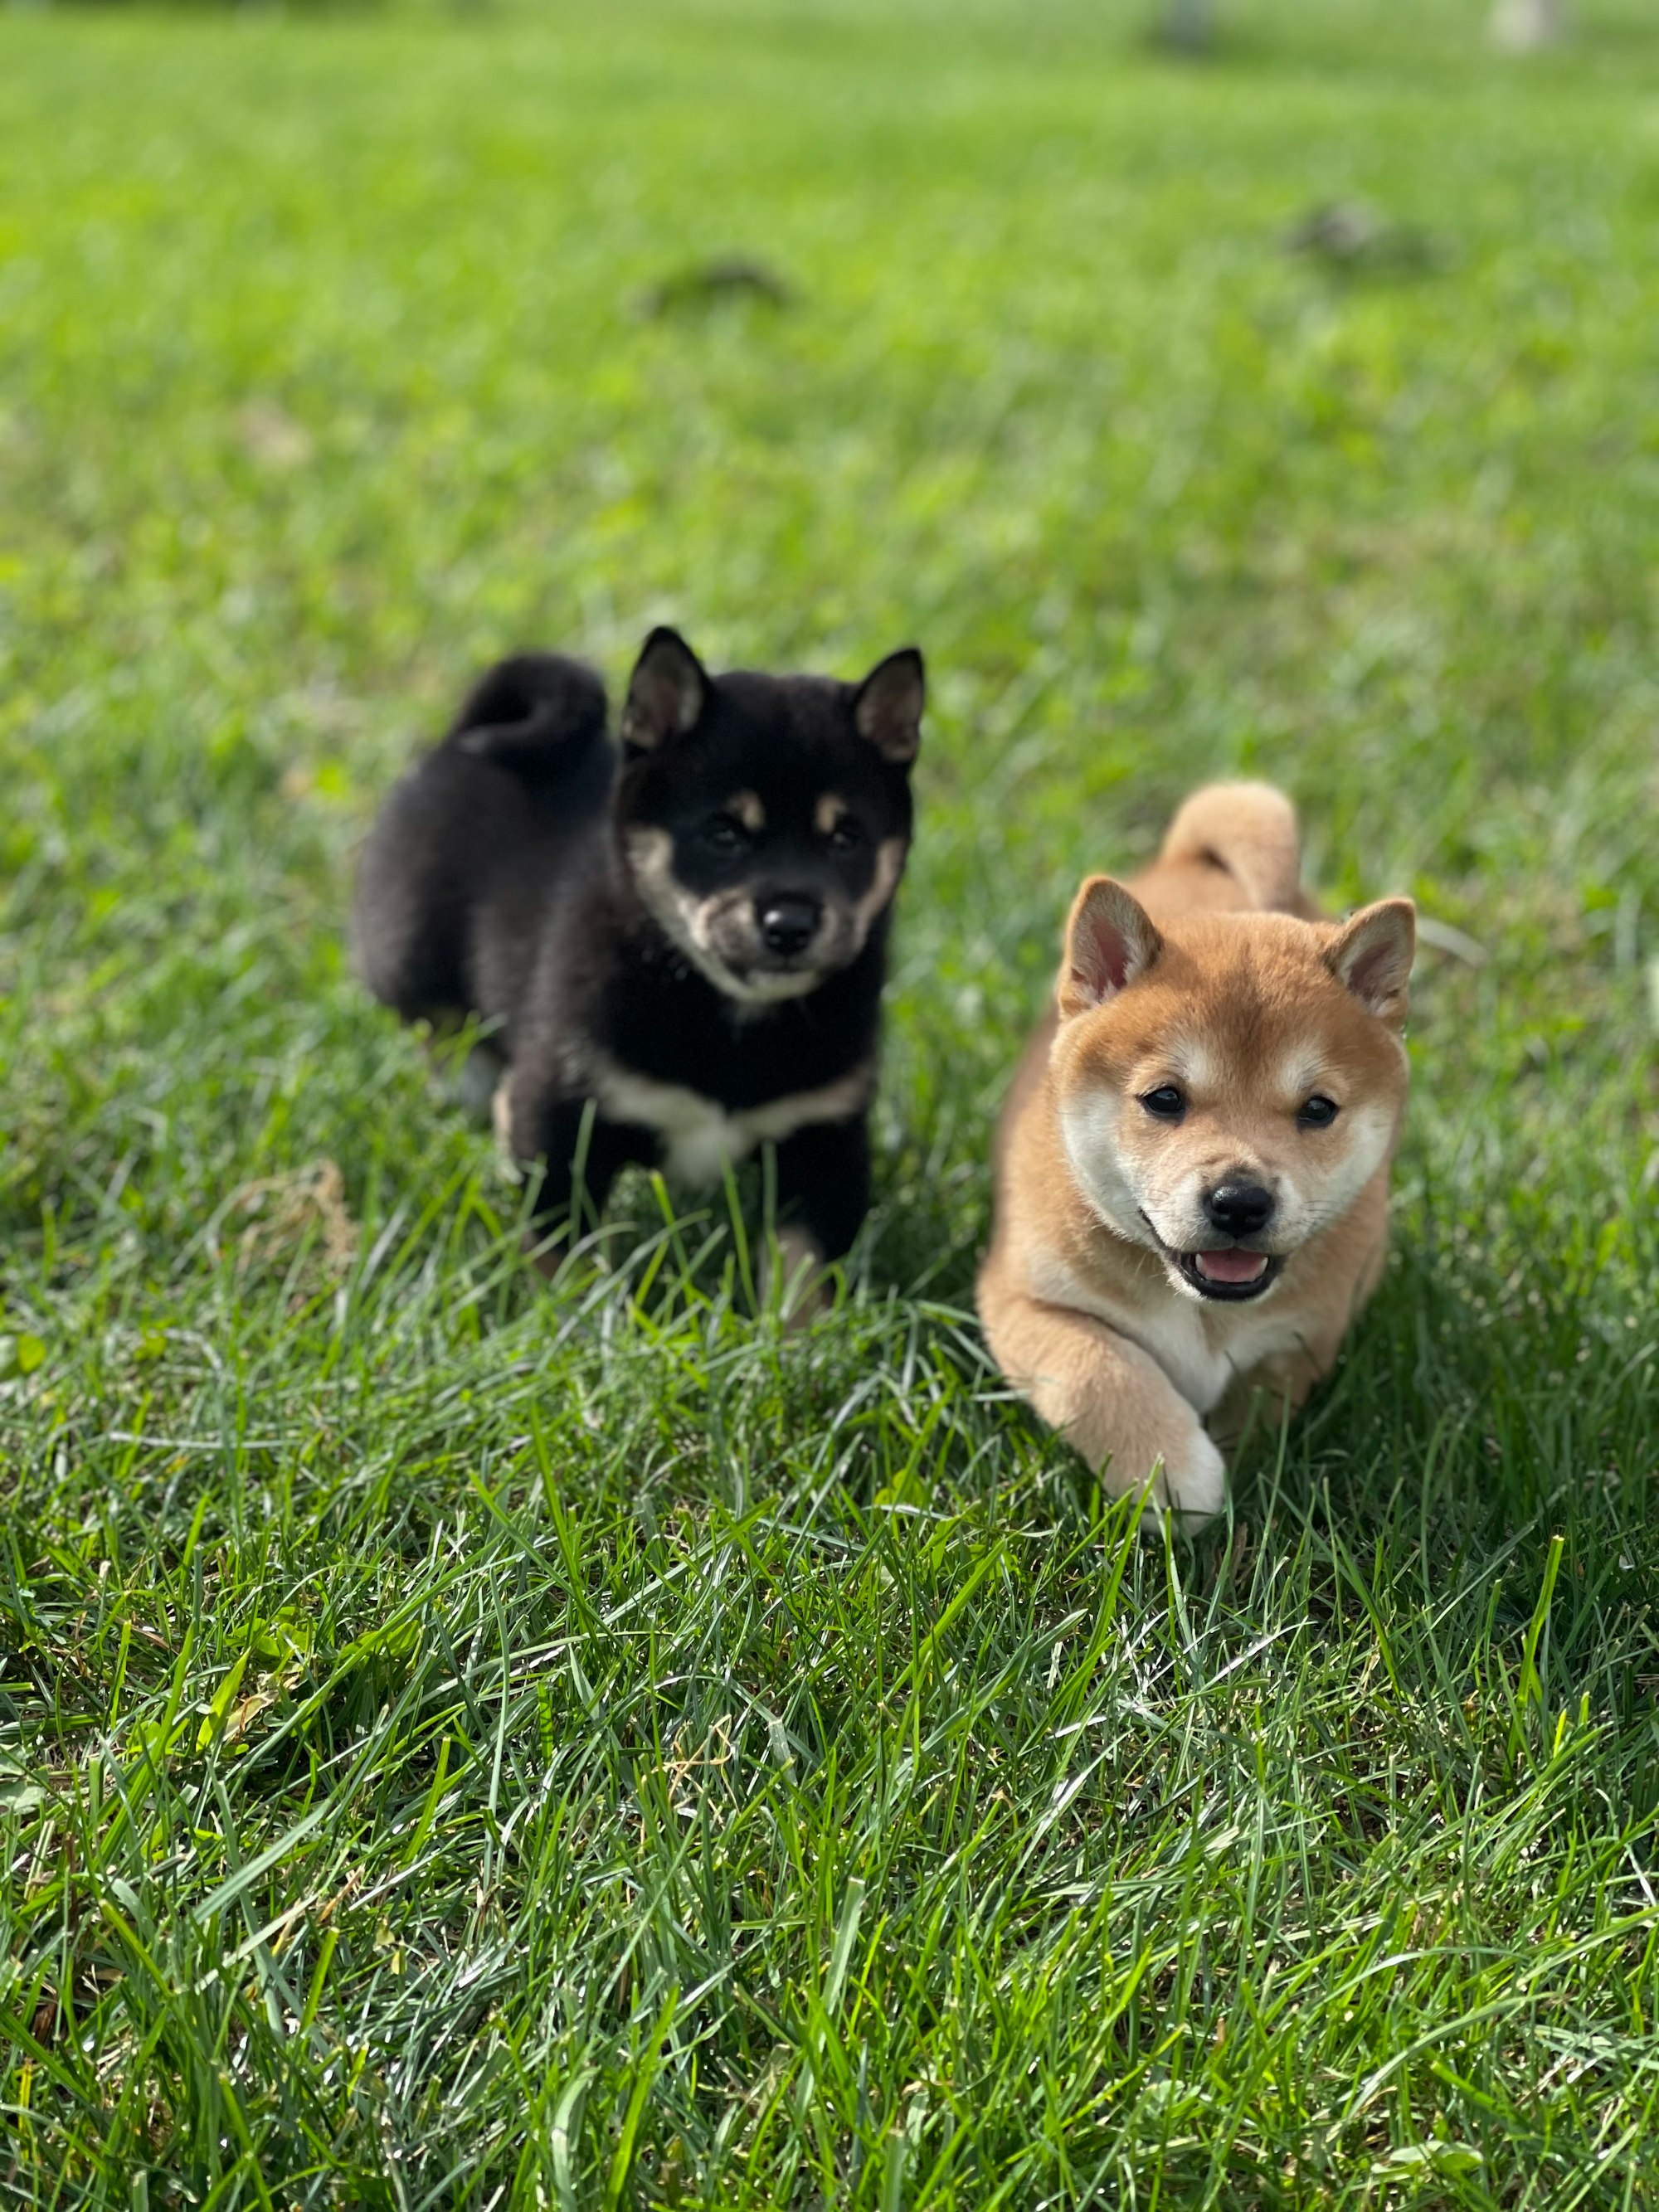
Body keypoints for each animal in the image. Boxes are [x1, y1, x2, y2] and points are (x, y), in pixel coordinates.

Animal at [358, 624, 929, 1291]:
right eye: (723, 833)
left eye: (845, 838)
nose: (790, 925)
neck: (730, 1018)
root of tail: (459, 741)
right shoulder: (561, 1114)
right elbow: (562, 1251)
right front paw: (566, 1312)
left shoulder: (824, 1141)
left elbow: (801, 1274)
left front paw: (788, 1325)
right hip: (408, 962)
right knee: (443, 1031)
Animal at [986, 778, 1415, 1521]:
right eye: (1164, 1098)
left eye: (1318, 1109)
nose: (1240, 1202)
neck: (1203, 1312)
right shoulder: (1020, 1298)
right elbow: (1094, 1368)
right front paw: (1171, 1469)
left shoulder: (1302, 1338)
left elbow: (1260, 1406)